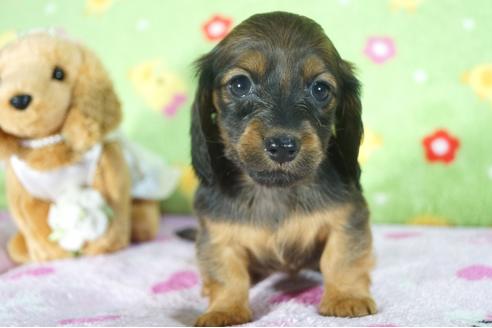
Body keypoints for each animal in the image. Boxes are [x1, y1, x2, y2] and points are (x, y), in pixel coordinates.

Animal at [190, 11, 374, 326]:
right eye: (240, 84)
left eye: (320, 89)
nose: (283, 145)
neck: (275, 190)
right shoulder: (217, 235)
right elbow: (227, 275)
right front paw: (224, 310)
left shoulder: (347, 219)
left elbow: (342, 259)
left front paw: (346, 296)